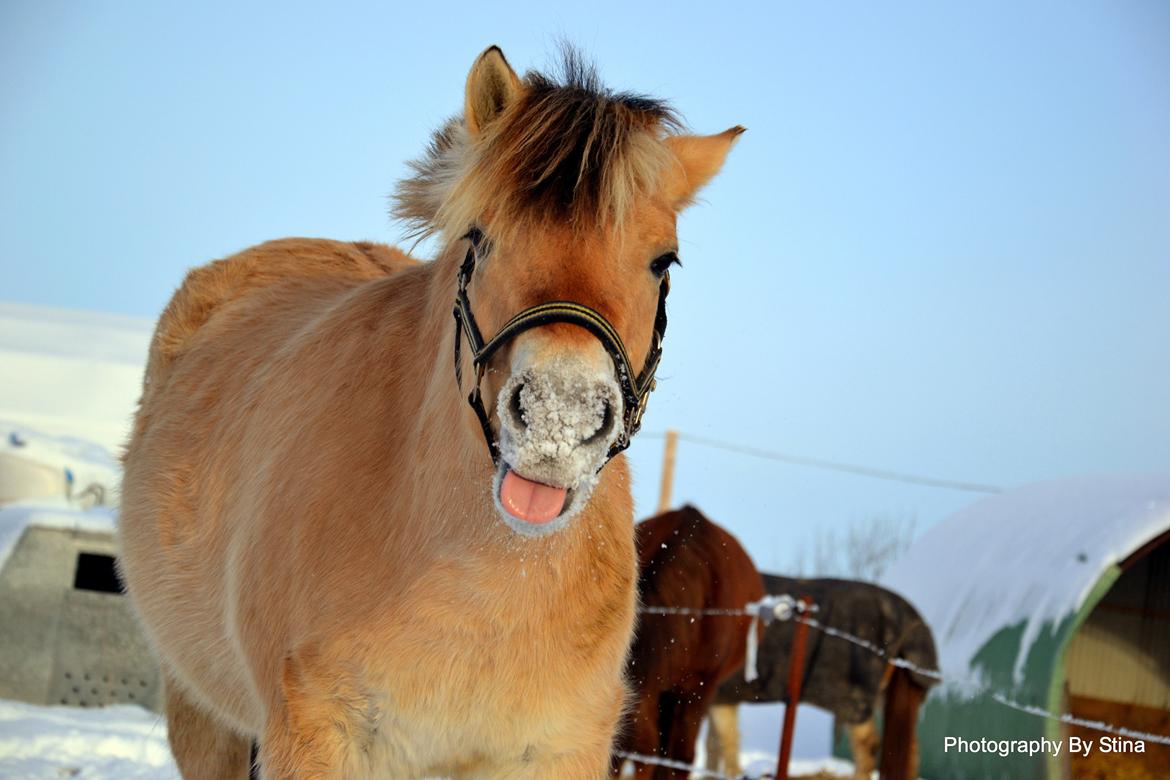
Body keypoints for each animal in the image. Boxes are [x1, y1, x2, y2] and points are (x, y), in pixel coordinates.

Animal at [118, 50, 739, 780]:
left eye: (663, 260)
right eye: (482, 239)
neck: (486, 593)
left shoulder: (563, 749)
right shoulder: (314, 738)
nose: (558, 419)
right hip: (201, 716)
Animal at [702, 573, 940, 780]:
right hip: (886, 697)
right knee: (908, 747)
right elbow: (715, 745)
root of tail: (911, 620)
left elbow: (725, 743)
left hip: (856, 700)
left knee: (869, 748)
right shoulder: (721, 697)